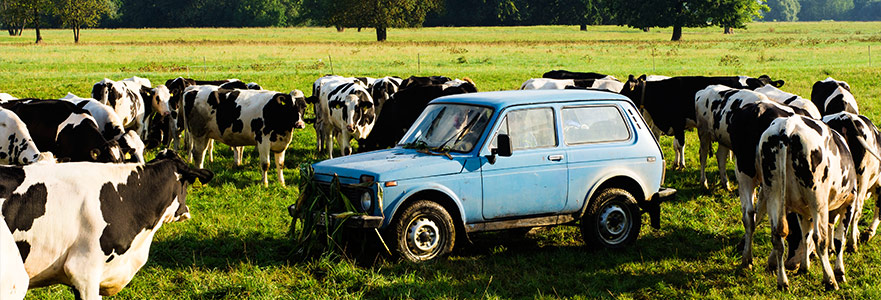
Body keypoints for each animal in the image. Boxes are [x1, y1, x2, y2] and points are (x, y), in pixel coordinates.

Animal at [620, 73, 784, 169]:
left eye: (625, 90)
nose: (617, 95)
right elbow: (676, 145)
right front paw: (676, 163)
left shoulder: (678, 123)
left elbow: (680, 144)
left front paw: (681, 164)